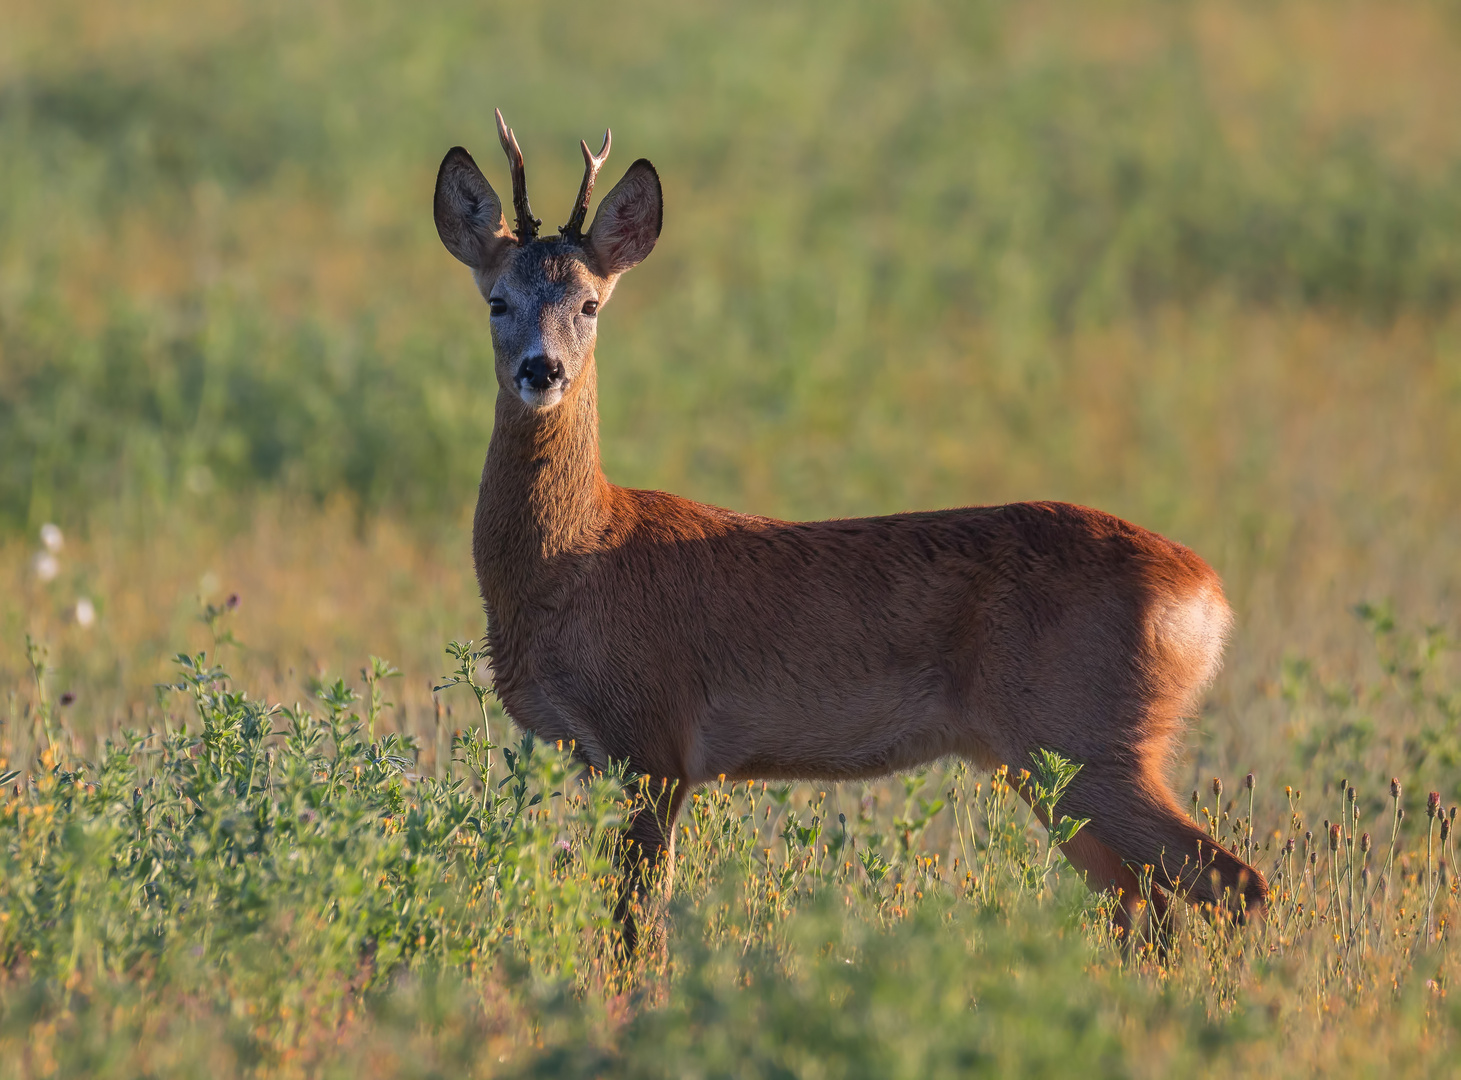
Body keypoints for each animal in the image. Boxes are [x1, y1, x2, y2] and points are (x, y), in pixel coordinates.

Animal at [432, 111, 1268, 952]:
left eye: (590, 304)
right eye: (497, 301)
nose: (542, 371)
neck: (580, 554)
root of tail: (1206, 591)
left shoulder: (654, 744)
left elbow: (637, 927)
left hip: (1085, 740)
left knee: (1230, 882)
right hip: (1056, 764)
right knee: (1144, 901)